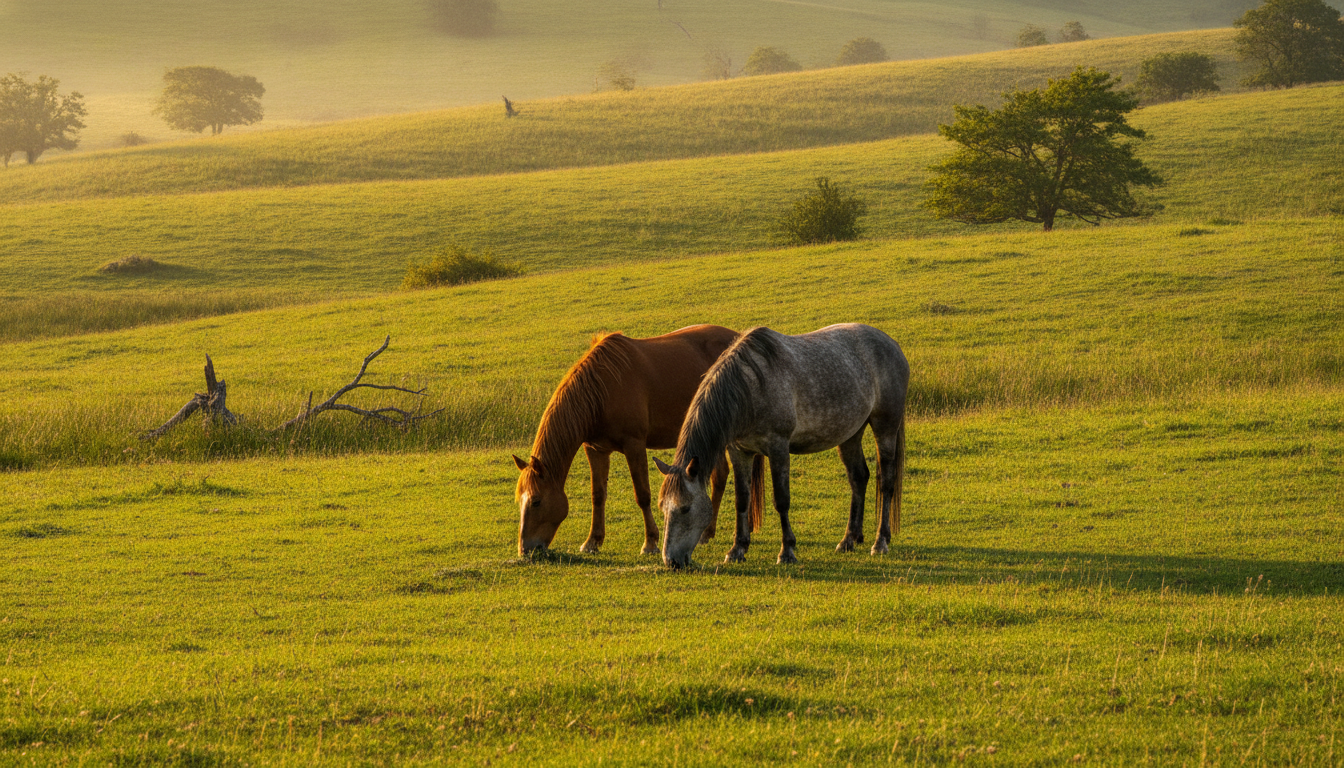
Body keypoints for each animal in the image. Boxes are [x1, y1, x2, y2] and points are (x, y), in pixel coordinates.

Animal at [513, 325, 739, 556]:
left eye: (536, 501)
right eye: (519, 500)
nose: (525, 550)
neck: (602, 391)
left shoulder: (634, 446)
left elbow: (642, 494)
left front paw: (650, 542)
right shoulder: (596, 450)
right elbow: (598, 495)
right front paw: (592, 541)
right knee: (720, 475)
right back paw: (707, 533)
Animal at [654, 323, 908, 568]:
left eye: (685, 508)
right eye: (663, 507)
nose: (672, 561)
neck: (751, 388)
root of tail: (893, 345)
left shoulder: (778, 448)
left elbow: (781, 500)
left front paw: (787, 551)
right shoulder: (740, 452)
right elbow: (741, 499)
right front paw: (737, 549)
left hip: (885, 427)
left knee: (886, 482)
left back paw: (880, 542)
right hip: (850, 434)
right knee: (858, 478)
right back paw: (849, 540)